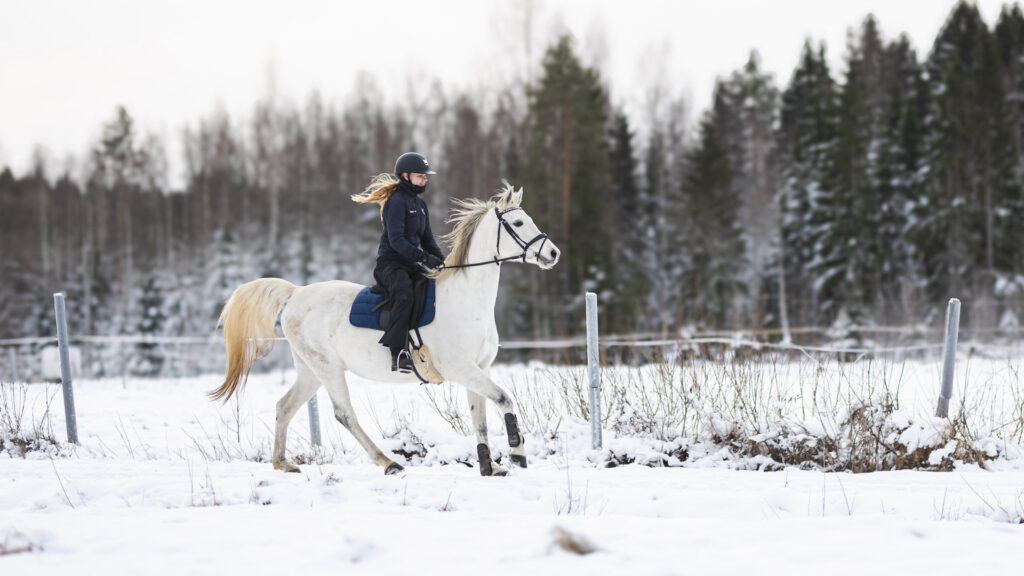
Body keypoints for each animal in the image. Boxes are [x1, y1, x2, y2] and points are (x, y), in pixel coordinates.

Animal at [207, 182, 561, 475]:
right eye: (518, 223)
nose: (553, 253)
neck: (466, 298)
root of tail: (296, 293)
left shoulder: (479, 368)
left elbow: (480, 418)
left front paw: (490, 467)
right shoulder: (461, 368)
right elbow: (504, 399)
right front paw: (517, 453)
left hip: (310, 370)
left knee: (284, 407)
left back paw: (283, 464)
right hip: (328, 368)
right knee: (344, 414)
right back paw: (388, 462)